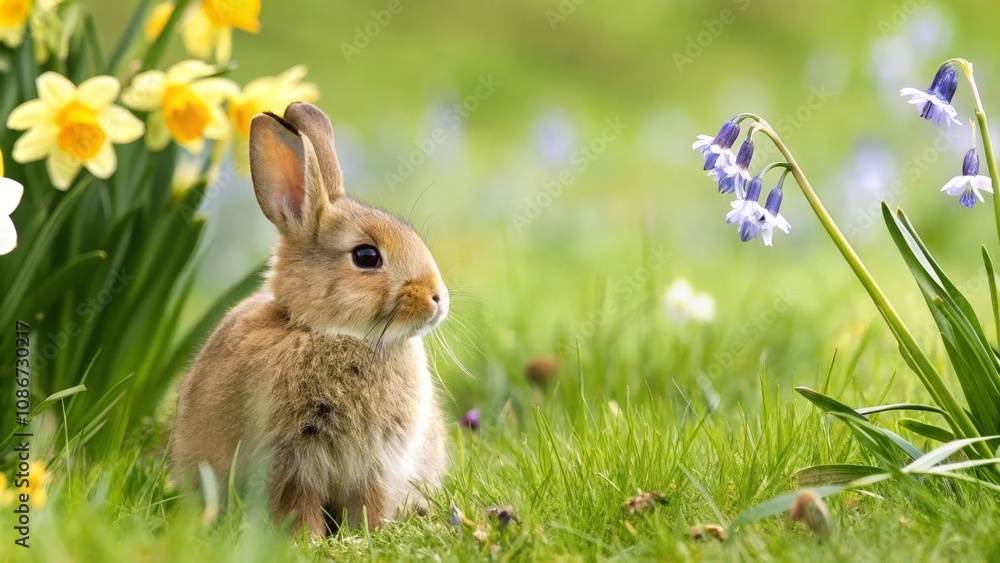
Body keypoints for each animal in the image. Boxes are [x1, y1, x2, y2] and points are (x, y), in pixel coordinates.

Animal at [170, 102, 449, 535]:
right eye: (366, 256)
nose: (438, 297)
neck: (333, 334)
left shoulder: (379, 464)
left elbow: (370, 500)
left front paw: (369, 534)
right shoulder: (290, 458)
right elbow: (299, 502)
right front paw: (312, 539)